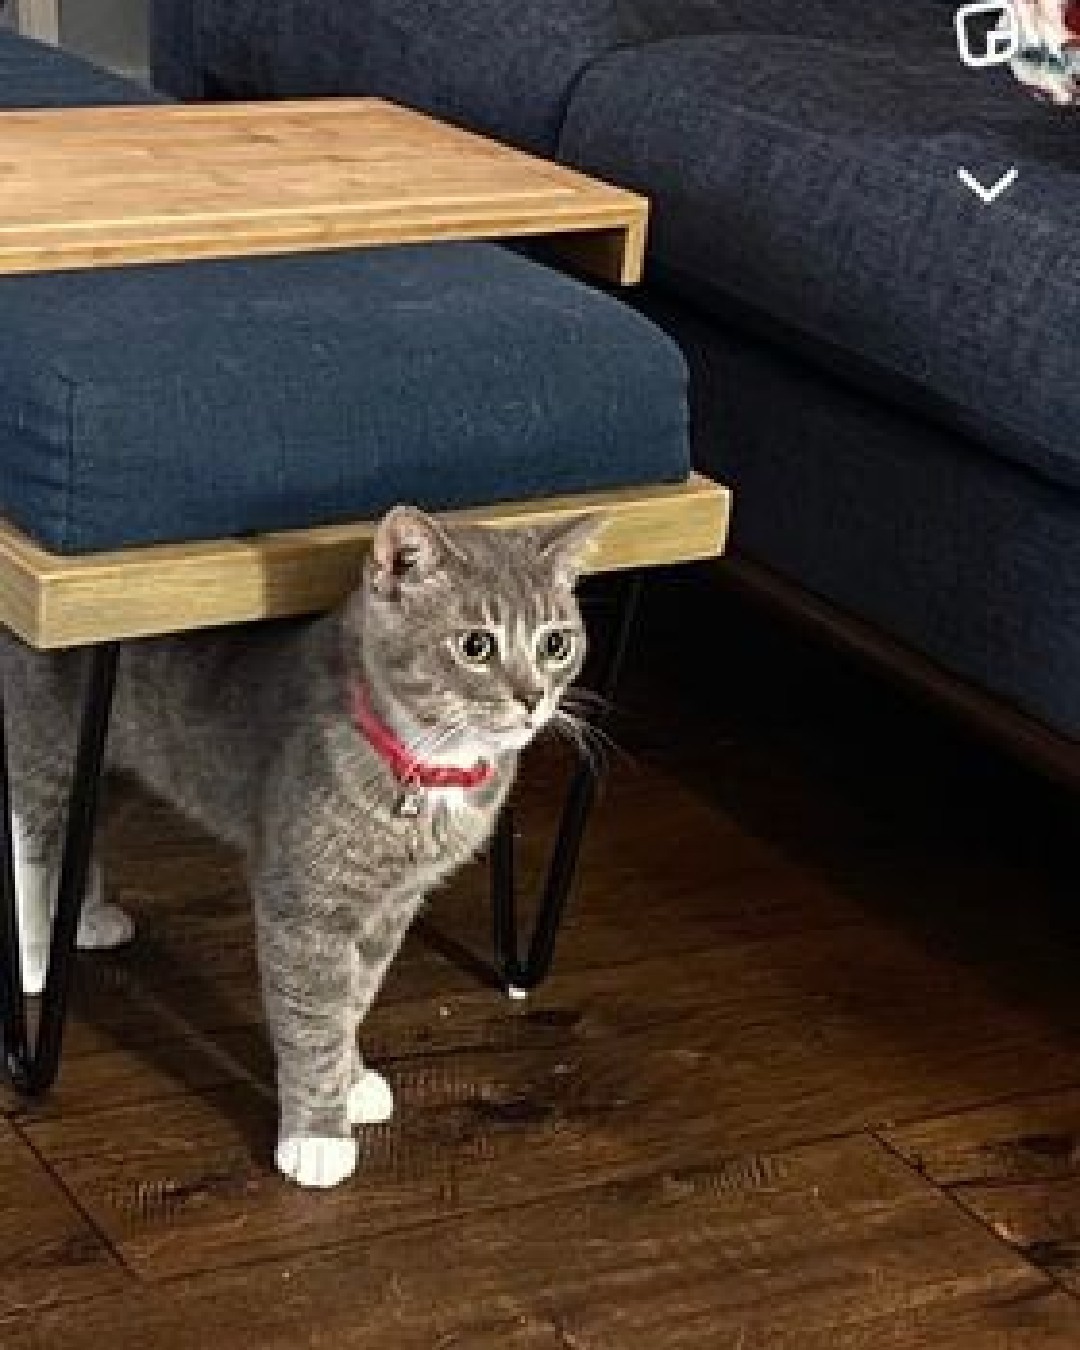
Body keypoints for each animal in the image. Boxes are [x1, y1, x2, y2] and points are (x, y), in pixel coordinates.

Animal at [4, 504, 603, 1187]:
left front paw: (352, 1079)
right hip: (50, 743)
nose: (533, 699)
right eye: (476, 644)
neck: (422, 768)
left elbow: (357, 995)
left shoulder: (393, 906)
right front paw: (317, 1135)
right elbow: (314, 1015)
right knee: (30, 831)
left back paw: (82, 915)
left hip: (112, 763)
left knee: (80, 829)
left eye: (556, 642)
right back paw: (33, 952)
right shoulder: (304, 903)